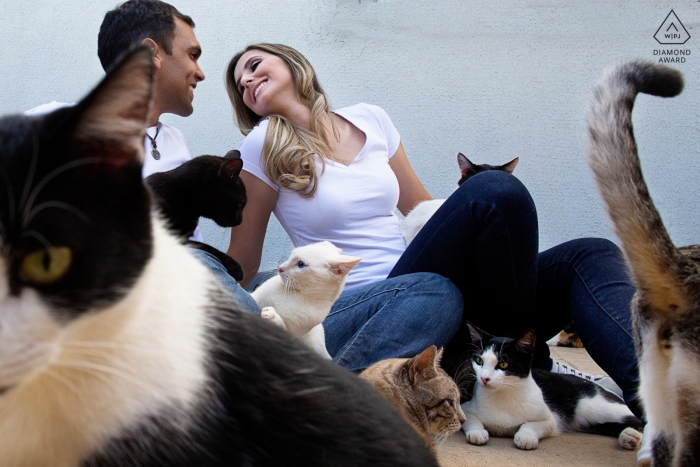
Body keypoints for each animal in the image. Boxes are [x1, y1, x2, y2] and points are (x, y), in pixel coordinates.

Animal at [462, 324, 644, 452]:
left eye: (503, 364)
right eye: (479, 361)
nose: (484, 378)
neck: (503, 395)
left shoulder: (550, 419)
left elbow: (531, 425)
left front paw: (525, 437)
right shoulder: (466, 407)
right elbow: (471, 419)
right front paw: (478, 433)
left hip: (599, 406)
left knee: (640, 420)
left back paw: (631, 435)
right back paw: (628, 437)